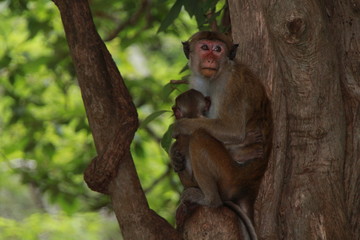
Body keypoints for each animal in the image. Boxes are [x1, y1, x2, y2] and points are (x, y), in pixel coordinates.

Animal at [172, 31, 272, 222]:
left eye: (218, 49)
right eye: (205, 47)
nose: (211, 59)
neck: (214, 78)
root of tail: (250, 188)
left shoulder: (232, 84)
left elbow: (233, 130)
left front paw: (178, 127)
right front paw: (174, 156)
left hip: (230, 178)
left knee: (199, 137)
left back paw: (209, 199)